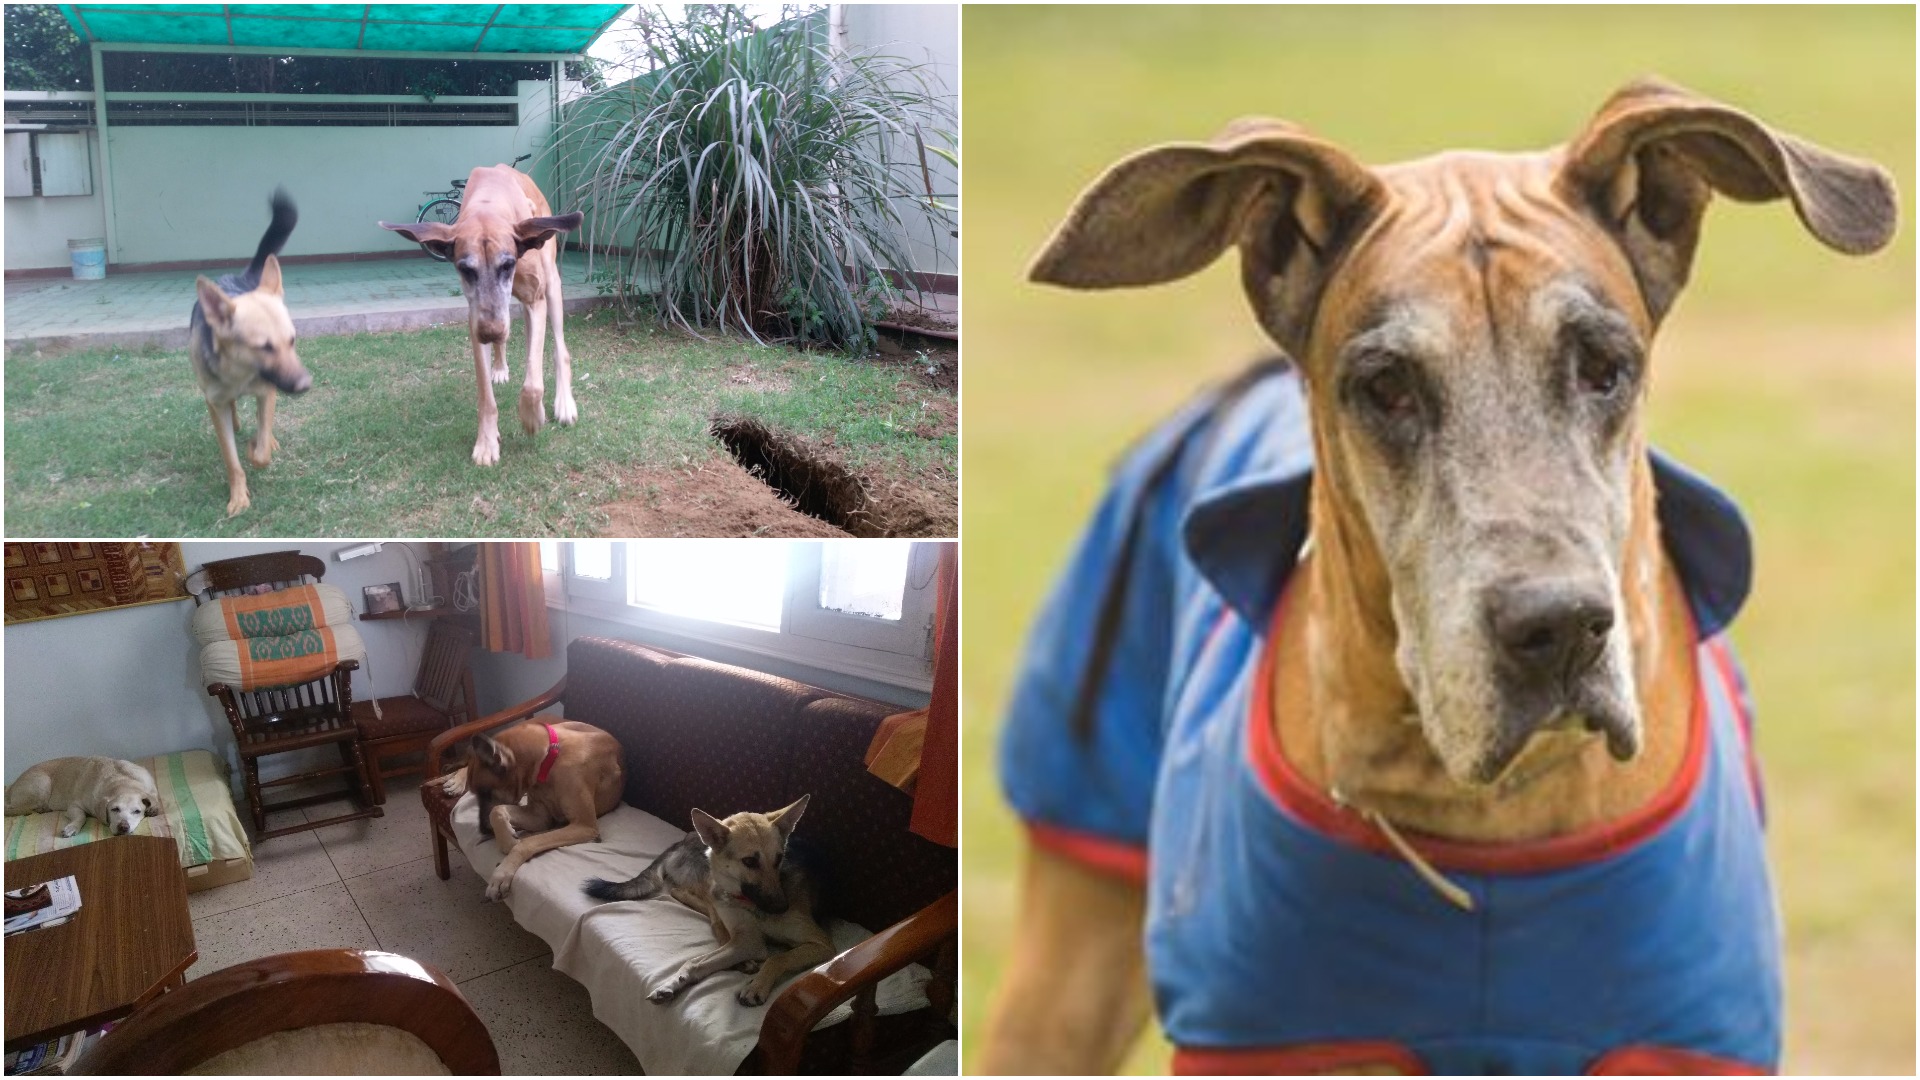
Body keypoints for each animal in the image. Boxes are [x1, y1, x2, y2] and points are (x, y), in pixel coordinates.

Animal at [7, 753, 161, 837]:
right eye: (115, 809)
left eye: (137, 811)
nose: (123, 827)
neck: (121, 781)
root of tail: (11, 786)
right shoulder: (74, 806)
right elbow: (81, 816)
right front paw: (72, 827)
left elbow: (155, 799)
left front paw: (153, 808)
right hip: (42, 783)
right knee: (14, 809)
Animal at [189, 187, 309, 515]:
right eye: (264, 347)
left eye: (292, 340)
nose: (305, 385)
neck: (239, 374)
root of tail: (241, 279)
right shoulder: (214, 402)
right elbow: (232, 460)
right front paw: (238, 496)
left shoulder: (267, 391)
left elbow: (261, 452)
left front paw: (258, 446)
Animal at [437, 714, 618, 899]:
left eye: (486, 793)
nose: (483, 830)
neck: (550, 759)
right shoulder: (540, 816)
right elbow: (497, 810)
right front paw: (507, 837)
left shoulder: (584, 825)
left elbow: (526, 841)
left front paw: (503, 869)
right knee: (468, 762)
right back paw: (455, 780)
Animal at [576, 787, 833, 1006]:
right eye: (750, 861)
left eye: (779, 858)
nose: (782, 907)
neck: (749, 904)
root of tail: (684, 839)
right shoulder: (750, 940)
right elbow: (695, 961)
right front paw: (674, 982)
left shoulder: (821, 944)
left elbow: (778, 958)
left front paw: (756, 986)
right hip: (711, 884)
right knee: (694, 902)